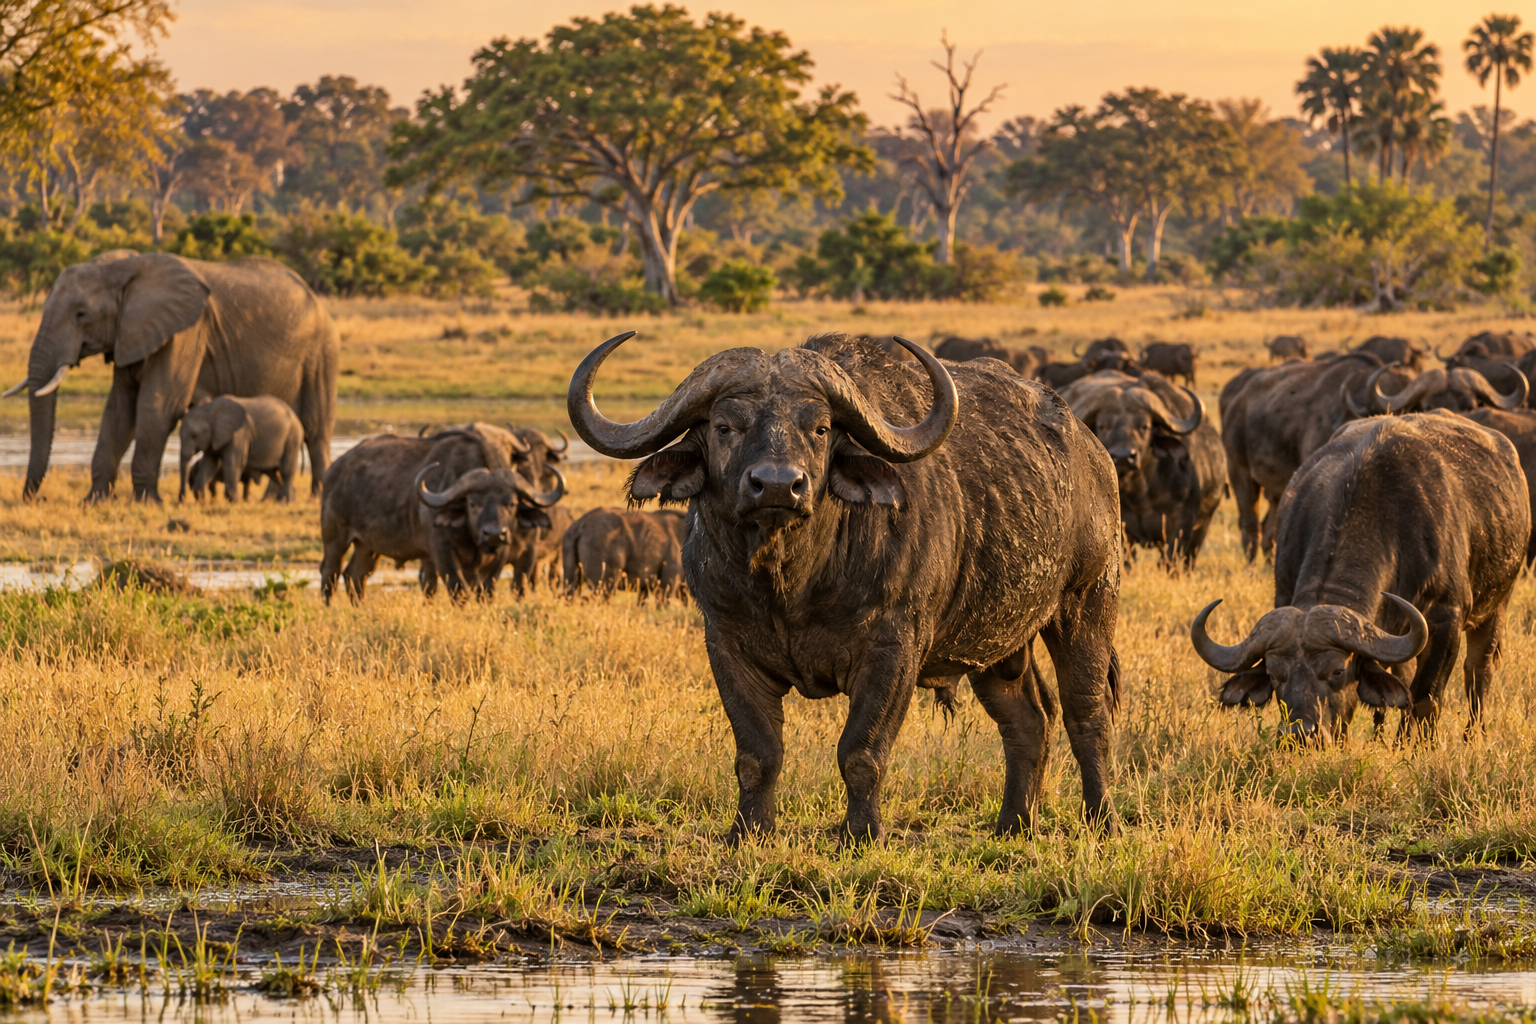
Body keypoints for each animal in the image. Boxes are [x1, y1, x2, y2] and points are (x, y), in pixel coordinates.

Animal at [568, 331, 1123, 841]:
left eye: (819, 428)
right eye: (724, 427)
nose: (777, 485)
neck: (791, 583)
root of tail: (1093, 453)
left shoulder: (893, 651)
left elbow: (861, 752)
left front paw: (862, 834)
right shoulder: (726, 645)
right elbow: (757, 754)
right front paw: (749, 831)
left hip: (1088, 604)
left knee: (1087, 716)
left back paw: (1103, 820)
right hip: (993, 646)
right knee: (1028, 720)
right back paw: (1013, 824)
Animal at [1060, 371, 1223, 567]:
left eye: (1144, 426)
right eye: (1103, 426)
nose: (1123, 456)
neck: (1142, 494)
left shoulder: (1182, 524)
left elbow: (1169, 561)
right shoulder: (1122, 528)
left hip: (1203, 526)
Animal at [1192, 411, 1528, 739]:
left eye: (1338, 671)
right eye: (1275, 675)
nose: (1301, 732)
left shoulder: (1447, 619)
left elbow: (1425, 697)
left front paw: (1418, 746)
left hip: (1498, 604)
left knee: (1478, 669)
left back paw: (1475, 733)